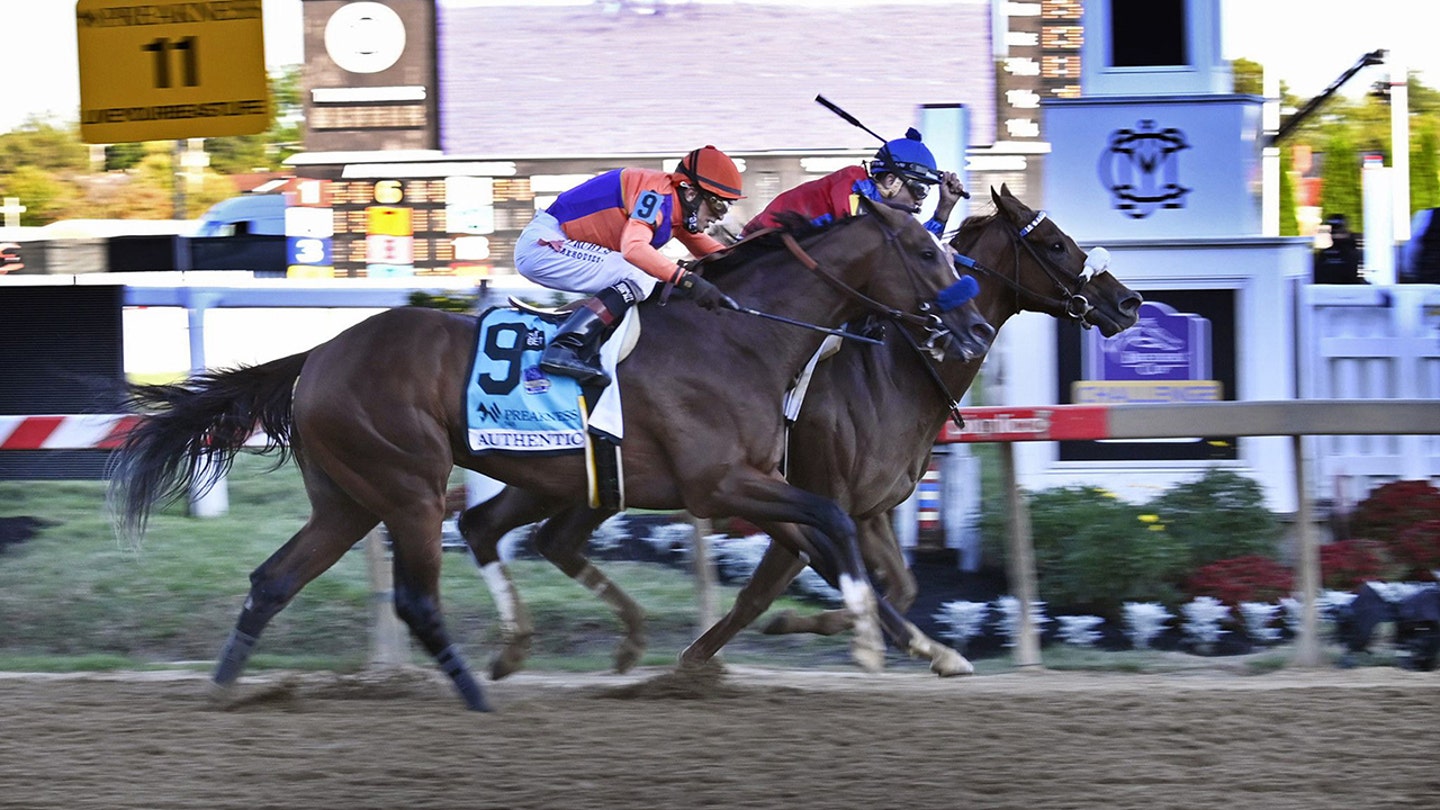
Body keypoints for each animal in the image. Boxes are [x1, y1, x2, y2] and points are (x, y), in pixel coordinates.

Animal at [112, 198, 996, 709]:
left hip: (354, 496)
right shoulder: (721, 485)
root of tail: (318, 355)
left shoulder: (745, 484)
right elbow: (830, 529)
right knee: (420, 591)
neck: (742, 337)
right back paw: (476, 688)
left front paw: (913, 644)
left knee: (277, 578)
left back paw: (228, 689)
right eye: (927, 251)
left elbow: (826, 539)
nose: (974, 328)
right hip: (407, 486)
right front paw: (871, 640)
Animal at [455, 183, 1140, 674]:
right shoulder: (803, 495)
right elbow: (781, 587)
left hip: (582, 478)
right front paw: (738, 646)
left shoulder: (864, 510)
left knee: (538, 535)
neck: (892, 368)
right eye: (1056, 245)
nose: (1128, 302)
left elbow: (900, 583)